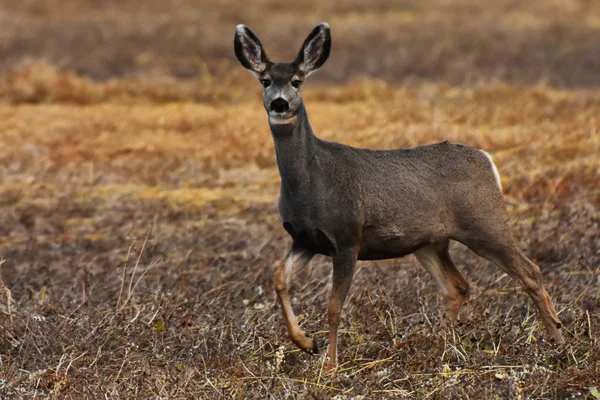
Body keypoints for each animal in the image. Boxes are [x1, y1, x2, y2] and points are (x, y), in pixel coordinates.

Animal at [233, 21, 564, 372]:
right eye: (266, 81)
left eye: (297, 81)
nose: (279, 103)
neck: (311, 184)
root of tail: (488, 161)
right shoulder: (305, 239)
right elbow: (279, 279)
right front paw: (307, 343)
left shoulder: (347, 236)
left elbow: (334, 308)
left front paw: (331, 365)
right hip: (429, 242)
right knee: (456, 286)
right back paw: (440, 349)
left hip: (486, 223)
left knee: (530, 272)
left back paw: (556, 340)